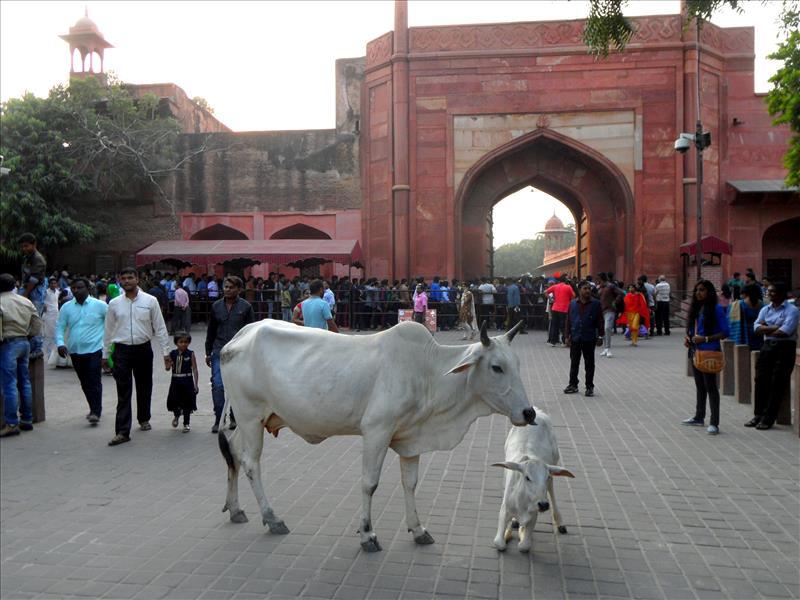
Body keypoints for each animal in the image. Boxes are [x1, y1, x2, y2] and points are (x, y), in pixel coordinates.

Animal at [217, 322, 536, 552]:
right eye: (496, 367)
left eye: (518, 365)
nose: (529, 412)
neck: (428, 373)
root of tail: (238, 337)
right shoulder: (376, 431)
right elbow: (369, 483)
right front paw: (367, 534)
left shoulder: (410, 439)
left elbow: (410, 484)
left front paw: (418, 529)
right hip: (250, 416)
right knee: (250, 463)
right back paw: (272, 518)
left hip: (249, 421)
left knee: (232, 453)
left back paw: (235, 509)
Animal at [490, 408, 572, 552]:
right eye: (527, 477)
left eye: (546, 477)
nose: (543, 505)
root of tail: (537, 411)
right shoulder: (505, 509)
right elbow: (499, 543)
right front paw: (509, 531)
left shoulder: (534, 514)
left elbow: (524, 545)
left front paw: (522, 533)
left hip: (554, 462)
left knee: (551, 492)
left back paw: (560, 523)